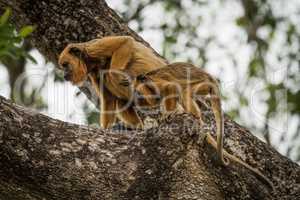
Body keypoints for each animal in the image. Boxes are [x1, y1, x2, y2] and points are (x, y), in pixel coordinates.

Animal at [122, 62, 274, 189]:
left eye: (139, 93)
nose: (138, 99)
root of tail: (211, 78)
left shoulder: (156, 83)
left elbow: (172, 88)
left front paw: (169, 113)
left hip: (202, 84)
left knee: (184, 92)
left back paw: (197, 119)